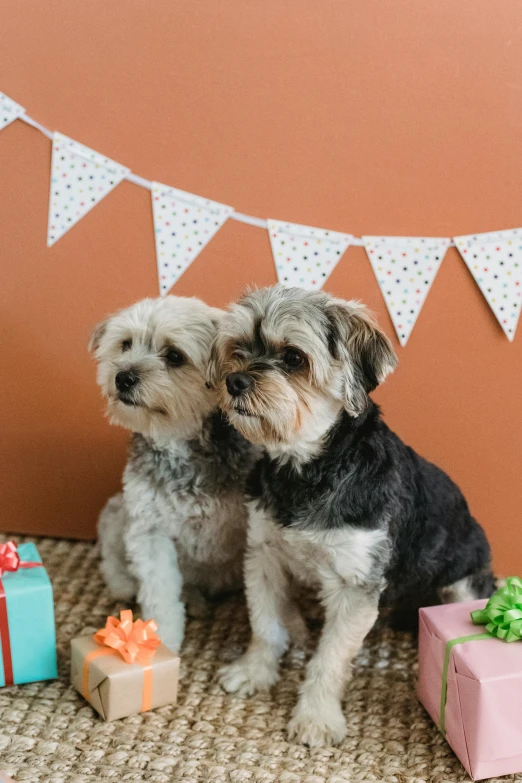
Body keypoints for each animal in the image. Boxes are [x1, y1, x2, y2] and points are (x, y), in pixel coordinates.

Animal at [90, 298, 256, 652]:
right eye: (126, 344)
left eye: (175, 356)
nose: (122, 377)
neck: (177, 444)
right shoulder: (150, 531)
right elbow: (160, 596)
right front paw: (159, 642)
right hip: (118, 509)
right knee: (111, 557)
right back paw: (127, 585)